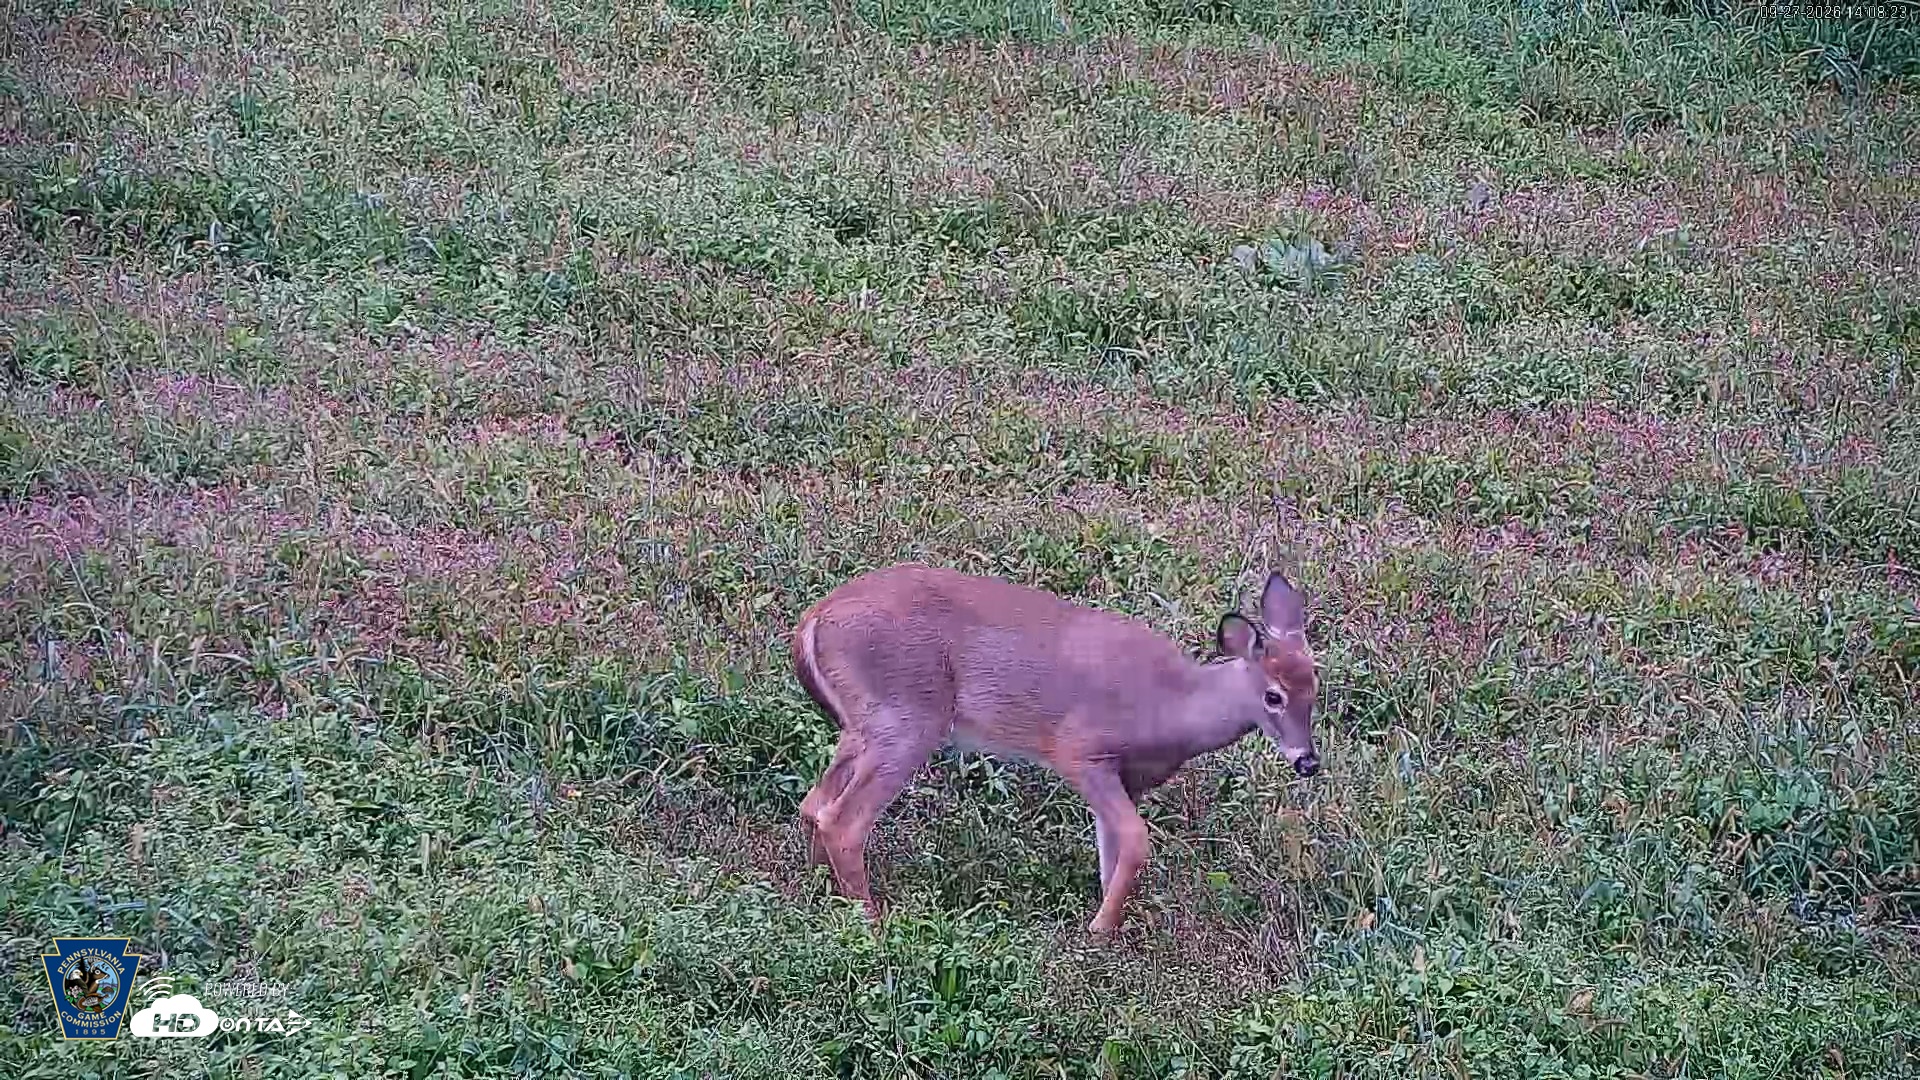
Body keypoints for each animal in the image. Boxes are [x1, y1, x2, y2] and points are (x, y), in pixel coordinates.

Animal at [791, 562, 1322, 935]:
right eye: (1273, 695)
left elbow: (1113, 849)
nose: (1308, 761)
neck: (1171, 707)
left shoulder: (1127, 779)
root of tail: (811, 622)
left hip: (864, 725)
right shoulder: (1080, 751)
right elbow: (1135, 840)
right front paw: (1099, 932)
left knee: (815, 802)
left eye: (1317, 685)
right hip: (907, 719)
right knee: (843, 820)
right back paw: (873, 922)